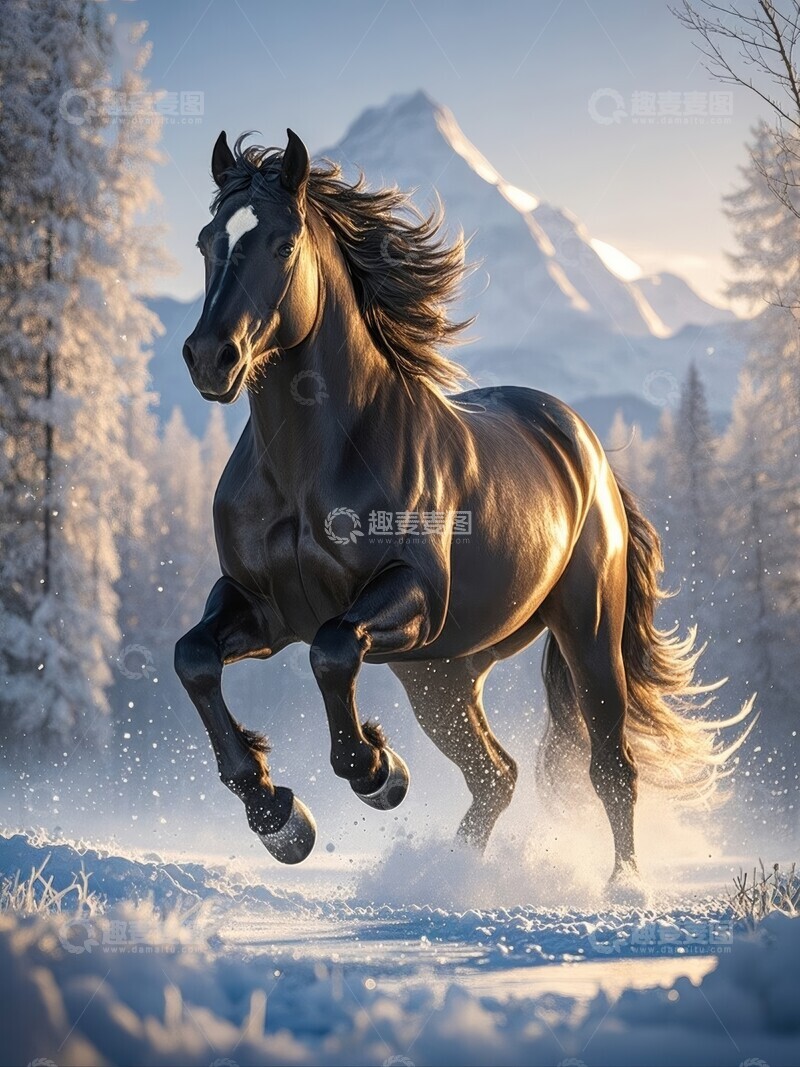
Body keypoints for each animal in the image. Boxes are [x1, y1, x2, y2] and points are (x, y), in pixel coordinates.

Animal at [176, 128, 754, 882]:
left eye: (283, 243)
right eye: (206, 240)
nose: (209, 358)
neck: (309, 469)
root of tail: (588, 451)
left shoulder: (413, 594)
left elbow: (332, 651)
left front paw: (377, 770)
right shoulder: (263, 605)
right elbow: (194, 659)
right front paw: (280, 818)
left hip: (585, 632)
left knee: (610, 766)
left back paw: (623, 887)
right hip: (443, 675)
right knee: (495, 775)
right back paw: (452, 876)